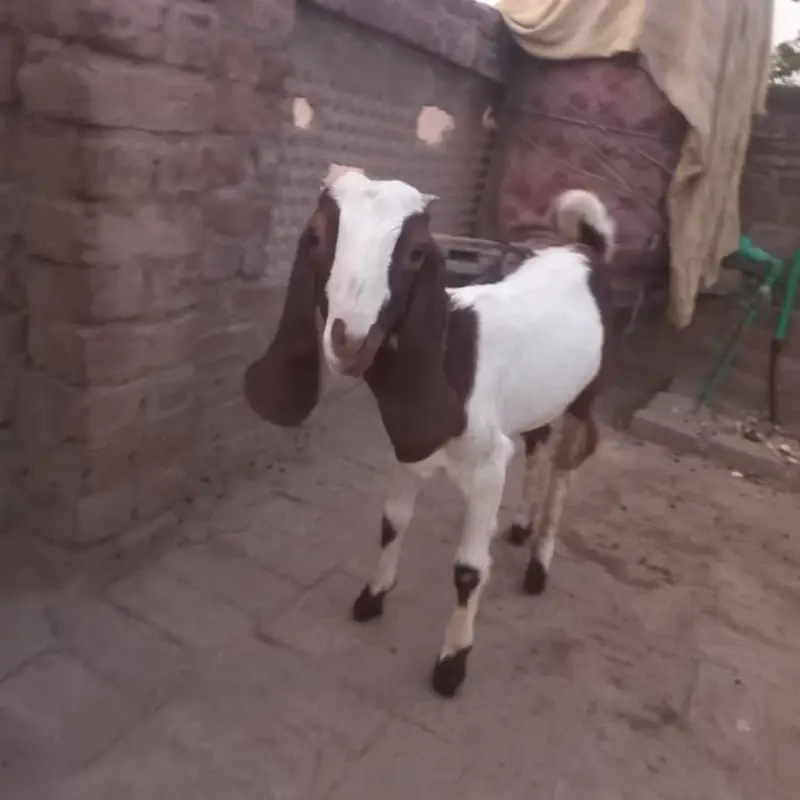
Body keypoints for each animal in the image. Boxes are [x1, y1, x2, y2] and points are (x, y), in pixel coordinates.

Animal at [244, 172, 614, 698]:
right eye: (314, 235)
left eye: (417, 252)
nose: (350, 342)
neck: (452, 352)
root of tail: (586, 250)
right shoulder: (408, 449)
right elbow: (392, 522)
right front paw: (373, 596)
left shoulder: (488, 466)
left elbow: (469, 569)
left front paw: (452, 663)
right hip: (540, 398)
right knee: (538, 441)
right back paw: (521, 526)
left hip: (587, 393)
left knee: (564, 471)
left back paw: (539, 565)